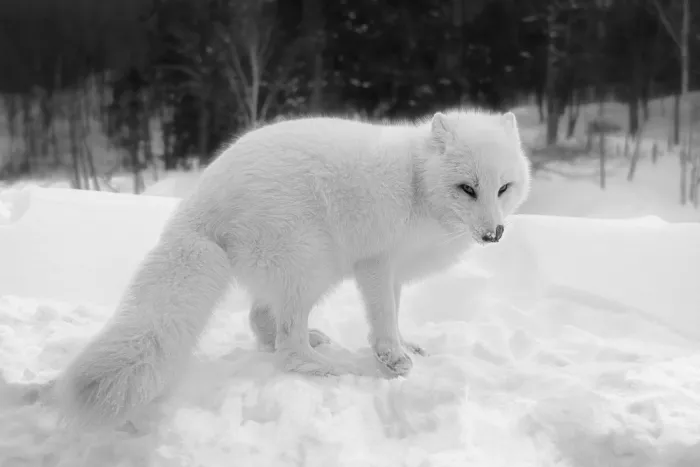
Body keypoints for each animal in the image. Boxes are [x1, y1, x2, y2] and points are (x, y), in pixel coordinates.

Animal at [52, 108, 532, 428]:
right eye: (467, 188)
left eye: (503, 188)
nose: (494, 234)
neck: (418, 184)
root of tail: (201, 198)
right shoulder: (376, 264)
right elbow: (383, 317)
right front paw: (391, 359)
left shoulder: (393, 271)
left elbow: (393, 317)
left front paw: (404, 346)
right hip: (312, 265)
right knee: (287, 348)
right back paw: (334, 366)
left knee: (261, 321)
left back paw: (315, 343)